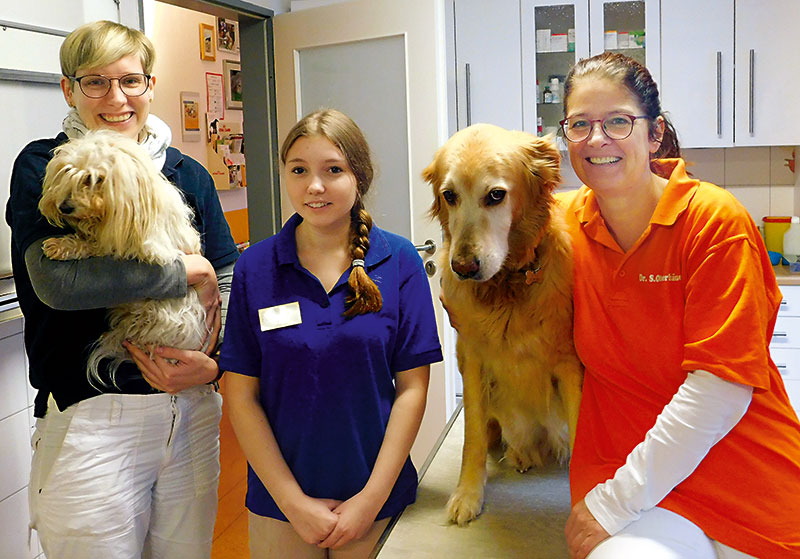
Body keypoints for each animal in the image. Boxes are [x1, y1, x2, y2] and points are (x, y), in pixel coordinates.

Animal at [39, 129, 208, 388]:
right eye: (67, 173)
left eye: (93, 179)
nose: (64, 207)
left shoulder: (143, 247)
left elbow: (98, 245)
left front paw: (64, 245)